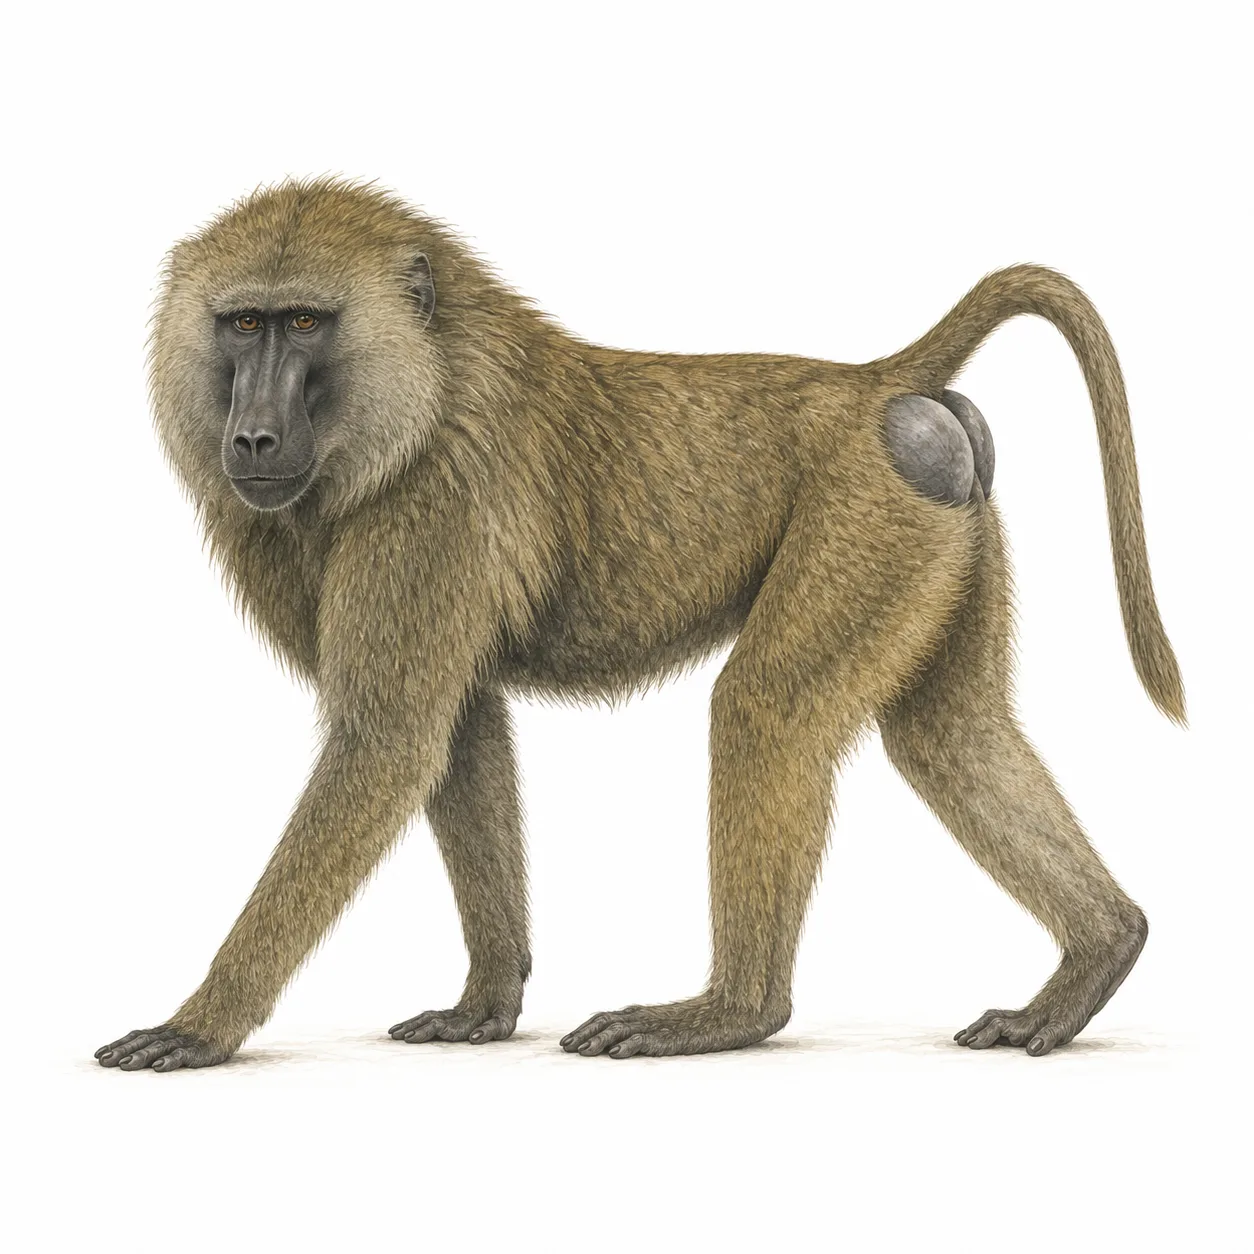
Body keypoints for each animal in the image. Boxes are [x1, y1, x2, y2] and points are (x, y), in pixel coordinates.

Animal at [96, 178, 1182, 1072]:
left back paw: (726, 1013)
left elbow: (385, 745)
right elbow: (458, 738)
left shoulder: (433, 508)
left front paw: (200, 1025)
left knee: (766, 711)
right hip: (937, 529)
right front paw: (485, 1005)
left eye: (303, 322)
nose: (252, 438)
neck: (426, 384)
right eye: (241, 324)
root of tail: (875, 382)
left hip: (868, 521)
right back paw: (1097, 957)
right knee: (948, 735)